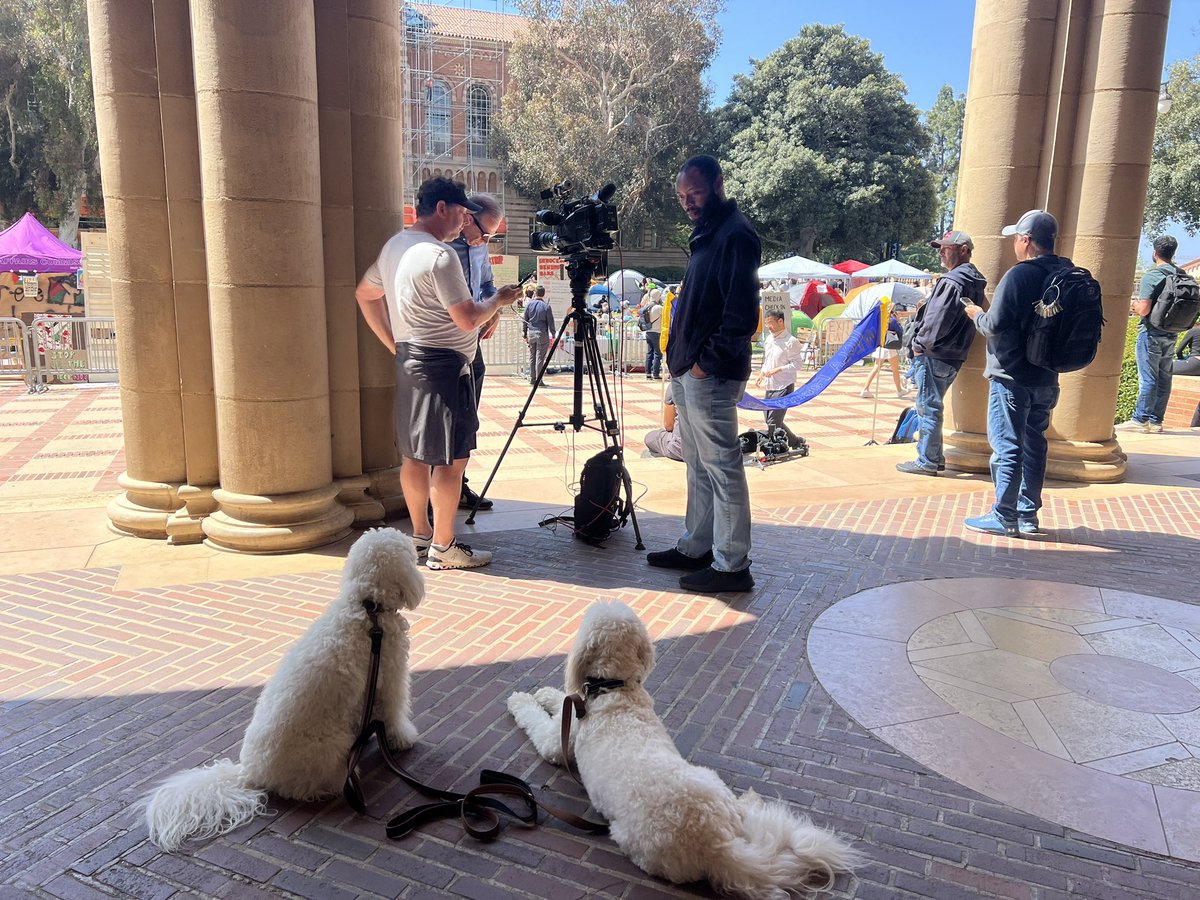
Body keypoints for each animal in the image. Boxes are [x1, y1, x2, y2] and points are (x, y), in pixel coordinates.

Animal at [141, 528, 424, 854]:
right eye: (408, 552)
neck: (368, 610)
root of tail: (249, 772)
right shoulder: (389, 679)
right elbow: (394, 715)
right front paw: (402, 740)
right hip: (331, 745)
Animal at [506, 602, 864, 897]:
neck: (616, 689)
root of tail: (716, 843)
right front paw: (546, 694)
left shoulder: (557, 740)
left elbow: (537, 719)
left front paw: (525, 698)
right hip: (714, 784)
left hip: (630, 837)